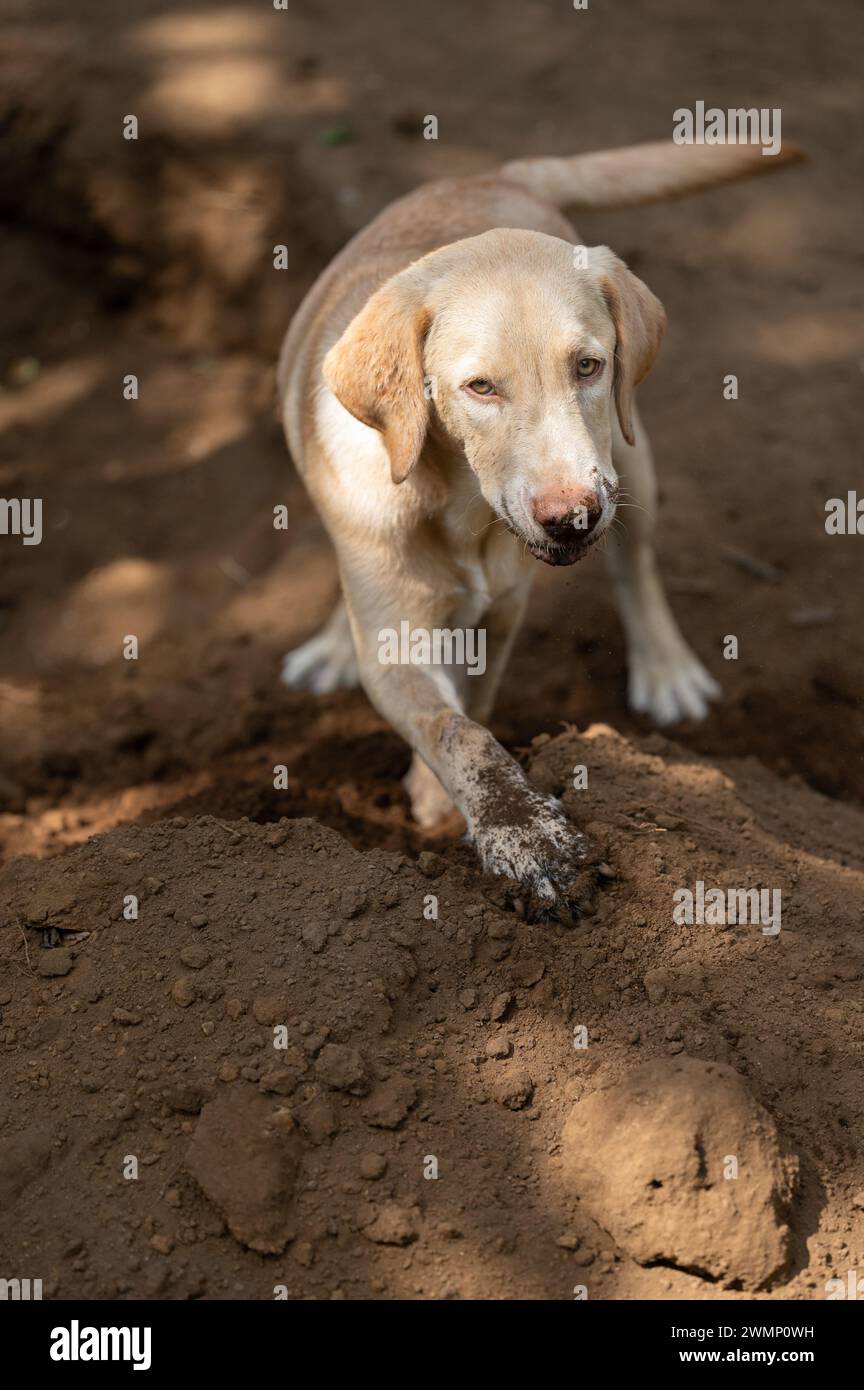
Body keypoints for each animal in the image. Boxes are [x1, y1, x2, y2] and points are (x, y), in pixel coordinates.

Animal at [277, 138, 805, 922]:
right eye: (480, 388)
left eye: (587, 365)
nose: (573, 518)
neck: (458, 503)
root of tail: (493, 174)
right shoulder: (396, 637)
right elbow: (455, 728)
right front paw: (523, 836)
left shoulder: (503, 611)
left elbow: (475, 706)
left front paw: (458, 807)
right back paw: (332, 645)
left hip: (627, 450)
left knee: (636, 564)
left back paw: (665, 667)